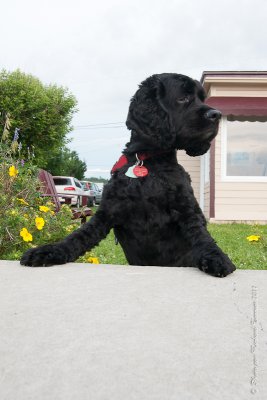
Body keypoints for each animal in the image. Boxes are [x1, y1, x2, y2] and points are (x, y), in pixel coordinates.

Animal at [22, 72, 238, 276]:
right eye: (183, 98)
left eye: (202, 98)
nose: (216, 114)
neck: (149, 163)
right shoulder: (106, 213)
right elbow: (77, 237)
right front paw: (49, 251)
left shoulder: (188, 211)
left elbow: (203, 237)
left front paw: (217, 257)